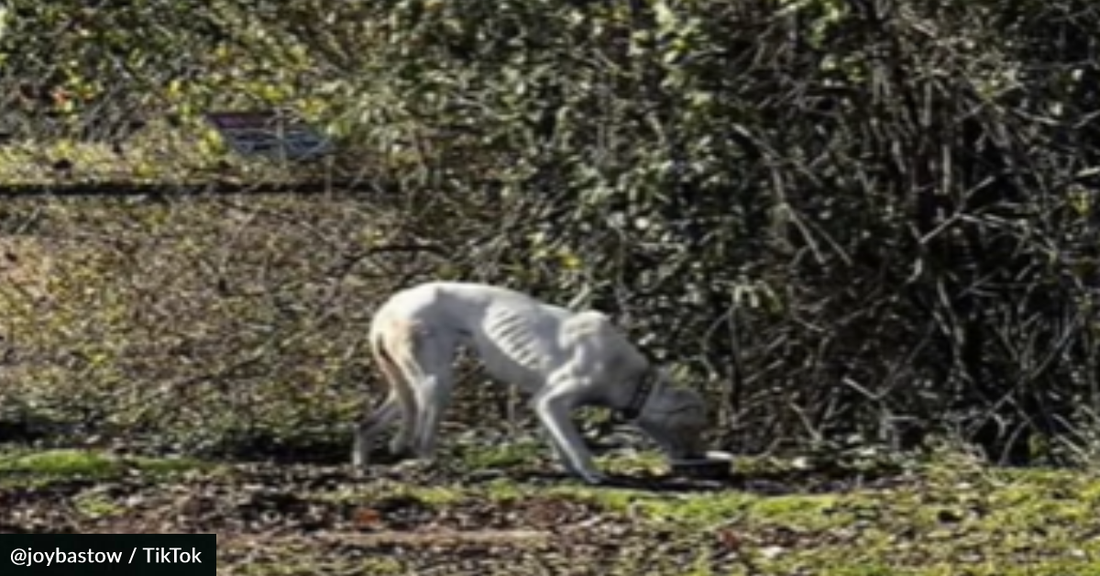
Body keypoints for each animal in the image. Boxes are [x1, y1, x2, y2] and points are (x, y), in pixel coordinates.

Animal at [356, 281, 708, 483]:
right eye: (695, 428)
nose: (699, 459)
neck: (634, 379)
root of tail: (389, 307)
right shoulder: (552, 401)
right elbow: (577, 444)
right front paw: (592, 473)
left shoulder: (543, 404)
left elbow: (561, 441)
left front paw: (570, 469)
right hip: (436, 382)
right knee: (420, 441)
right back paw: (434, 466)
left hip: (408, 386)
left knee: (366, 423)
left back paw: (360, 467)